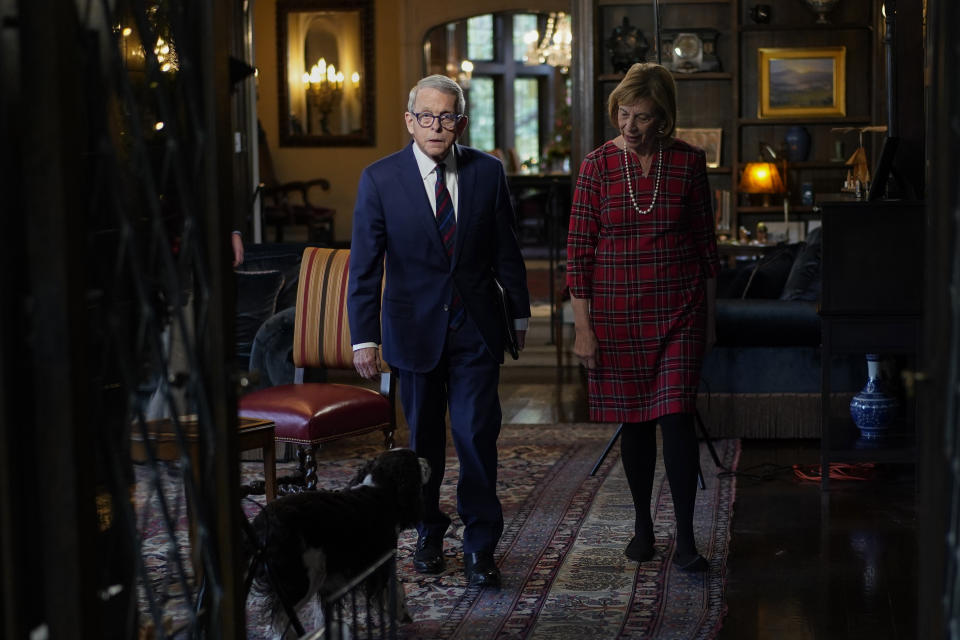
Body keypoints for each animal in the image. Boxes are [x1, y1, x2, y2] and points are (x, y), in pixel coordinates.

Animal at [246, 448, 430, 636]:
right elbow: (395, 587)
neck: (378, 489)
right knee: (282, 618)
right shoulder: (381, 562)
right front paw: (402, 614)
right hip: (302, 578)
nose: (427, 460)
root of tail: (261, 525)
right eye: (414, 459)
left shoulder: (333, 579)